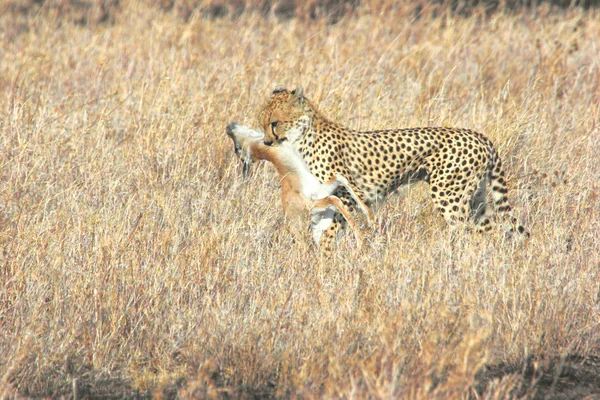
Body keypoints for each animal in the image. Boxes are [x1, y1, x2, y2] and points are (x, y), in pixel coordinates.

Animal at [226, 122, 372, 247]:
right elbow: (336, 198)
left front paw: (369, 216)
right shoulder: (313, 202)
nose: (229, 127)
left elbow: (341, 178)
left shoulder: (321, 189)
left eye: (236, 148)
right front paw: (360, 237)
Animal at [258, 85, 528, 250]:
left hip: (449, 196)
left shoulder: (347, 194)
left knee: (465, 231)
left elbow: (330, 227)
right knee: (489, 230)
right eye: (262, 123)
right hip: (475, 198)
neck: (301, 136)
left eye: (275, 123)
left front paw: (324, 255)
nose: (266, 142)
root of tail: (479, 135)